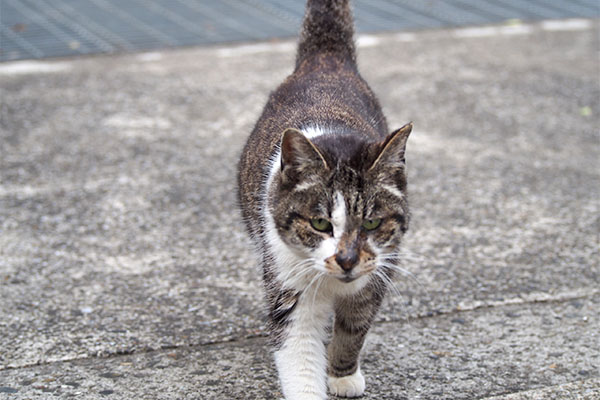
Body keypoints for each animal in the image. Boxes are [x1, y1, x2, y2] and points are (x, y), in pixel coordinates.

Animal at [238, 0, 412, 398]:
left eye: (371, 222)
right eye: (320, 223)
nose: (347, 260)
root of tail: (324, 59)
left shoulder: (376, 276)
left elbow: (353, 330)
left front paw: (343, 375)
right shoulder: (288, 285)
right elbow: (299, 352)